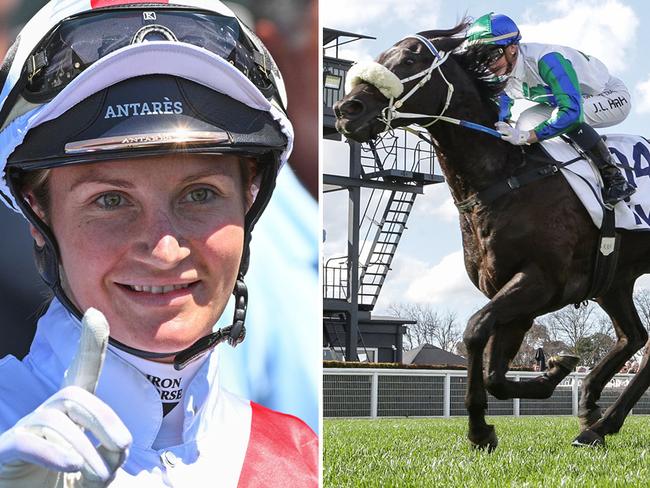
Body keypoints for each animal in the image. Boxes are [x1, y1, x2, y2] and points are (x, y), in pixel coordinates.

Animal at [332, 21, 648, 450]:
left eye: (411, 58)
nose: (347, 111)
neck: (504, 176)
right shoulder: (513, 293)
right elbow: (496, 374)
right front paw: (553, 374)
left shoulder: (541, 282)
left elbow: (474, 330)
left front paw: (480, 427)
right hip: (614, 281)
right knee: (633, 338)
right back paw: (593, 413)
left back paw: (599, 422)